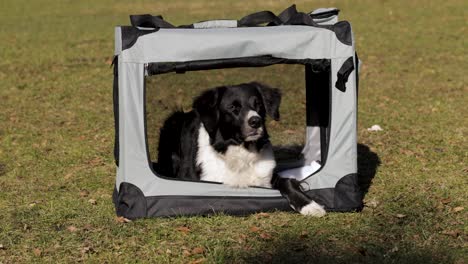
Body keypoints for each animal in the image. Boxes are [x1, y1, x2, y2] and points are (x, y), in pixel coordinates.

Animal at [157, 82, 326, 217]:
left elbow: (287, 181)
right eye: (233, 107)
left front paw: (309, 205)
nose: (256, 121)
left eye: (258, 104)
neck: (242, 151)